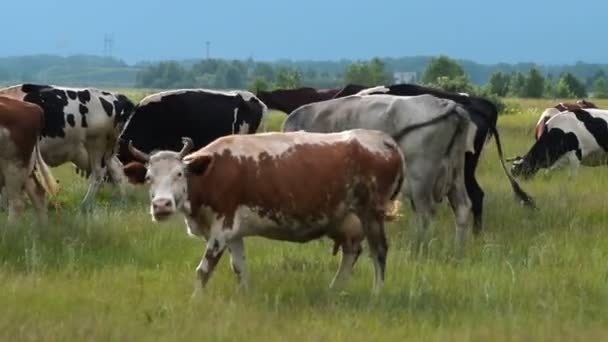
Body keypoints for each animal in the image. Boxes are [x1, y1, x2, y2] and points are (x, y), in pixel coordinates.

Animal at [0, 84, 134, 210]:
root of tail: (115, 96)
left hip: (96, 144)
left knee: (98, 172)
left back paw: (85, 205)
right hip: (107, 150)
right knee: (116, 169)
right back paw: (123, 202)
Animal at [123, 130, 404, 296]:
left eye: (179, 174)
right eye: (148, 178)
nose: (162, 205)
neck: (211, 173)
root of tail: (383, 139)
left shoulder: (221, 228)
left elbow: (203, 270)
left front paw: (195, 300)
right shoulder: (234, 232)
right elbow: (239, 267)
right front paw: (243, 297)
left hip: (371, 213)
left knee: (379, 251)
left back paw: (376, 294)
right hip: (348, 220)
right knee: (352, 252)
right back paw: (334, 290)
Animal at [282, 94, 496, 246]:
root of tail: (448, 105)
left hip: (421, 177)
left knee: (425, 212)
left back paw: (418, 246)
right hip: (456, 172)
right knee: (462, 207)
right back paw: (457, 249)